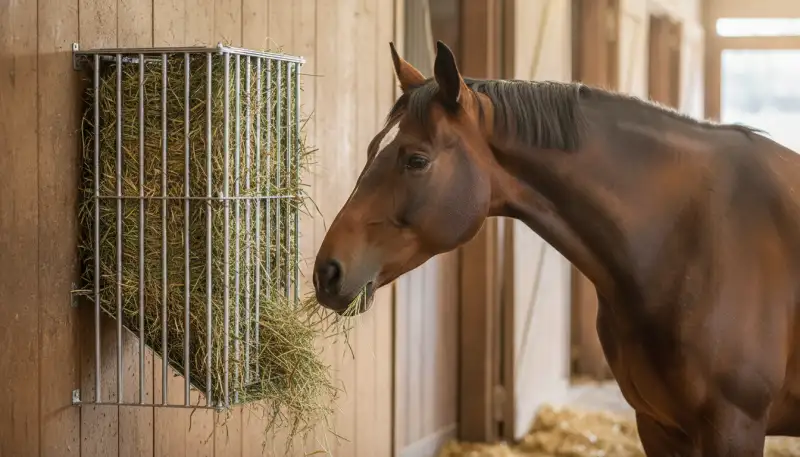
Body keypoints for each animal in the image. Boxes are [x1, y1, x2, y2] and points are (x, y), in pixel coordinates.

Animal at [312, 40, 800, 456]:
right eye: (372, 149)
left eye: (416, 160)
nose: (327, 272)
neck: (687, 238)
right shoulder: (659, 424)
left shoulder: (733, 426)